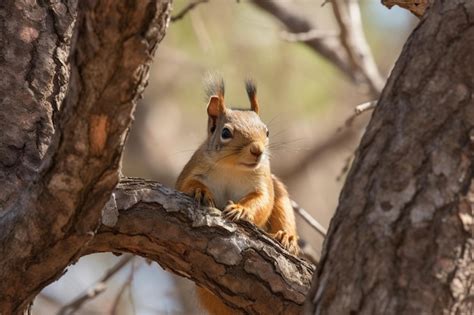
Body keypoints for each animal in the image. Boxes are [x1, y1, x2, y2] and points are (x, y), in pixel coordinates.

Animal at [176, 76, 298, 315]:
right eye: (225, 133)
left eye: (267, 131)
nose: (257, 150)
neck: (232, 167)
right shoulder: (192, 170)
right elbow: (186, 185)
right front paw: (199, 191)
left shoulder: (263, 182)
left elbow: (262, 201)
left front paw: (241, 209)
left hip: (279, 191)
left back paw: (286, 237)